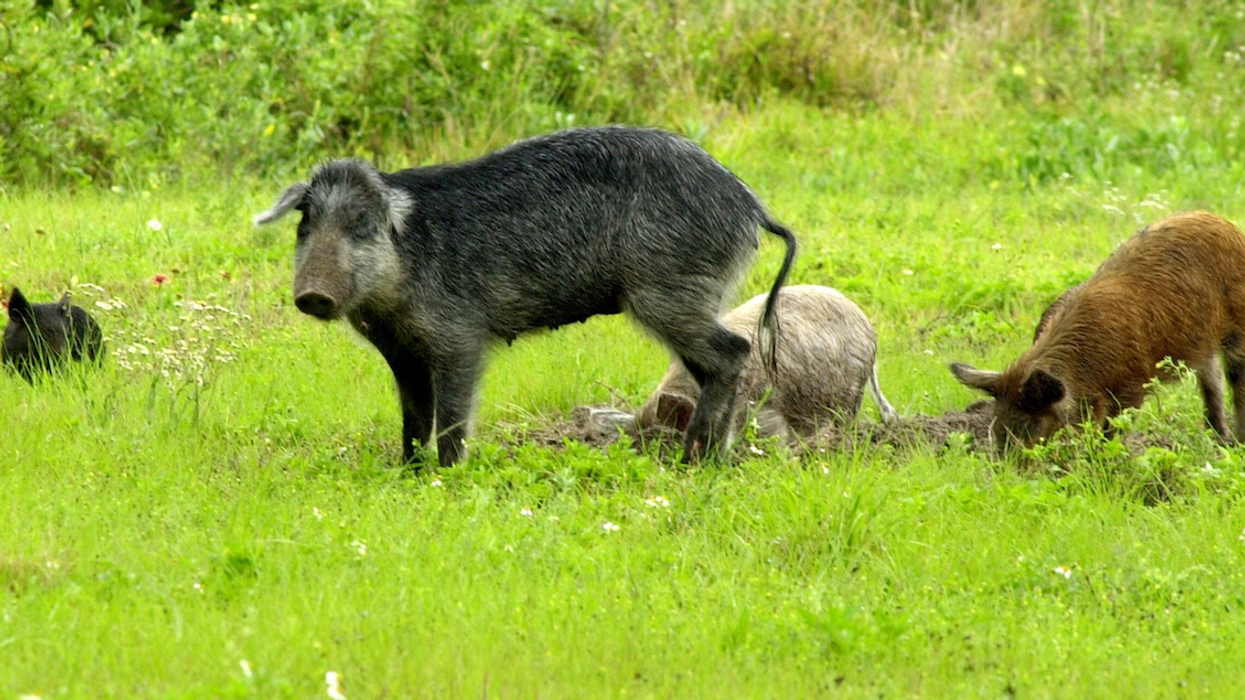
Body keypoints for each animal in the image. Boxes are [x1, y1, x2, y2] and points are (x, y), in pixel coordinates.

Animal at [254, 126, 797, 468]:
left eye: (361, 223)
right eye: (306, 222)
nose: (313, 293)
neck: (391, 301)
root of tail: (753, 207)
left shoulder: (460, 337)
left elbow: (452, 417)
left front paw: (446, 475)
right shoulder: (402, 354)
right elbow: (414, 419)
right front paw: (407, 471)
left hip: (667, 294)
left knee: (735, 351)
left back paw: (693, 460)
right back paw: (709, 458)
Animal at [951, 211, 1245, 450]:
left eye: (1029, 424)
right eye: (995, 420)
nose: (1005, 469)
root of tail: (1228, 226)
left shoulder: (1134, 386)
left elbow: (1111, 431)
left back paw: (1235, 444)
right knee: (1212, 383)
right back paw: (1219, 440)